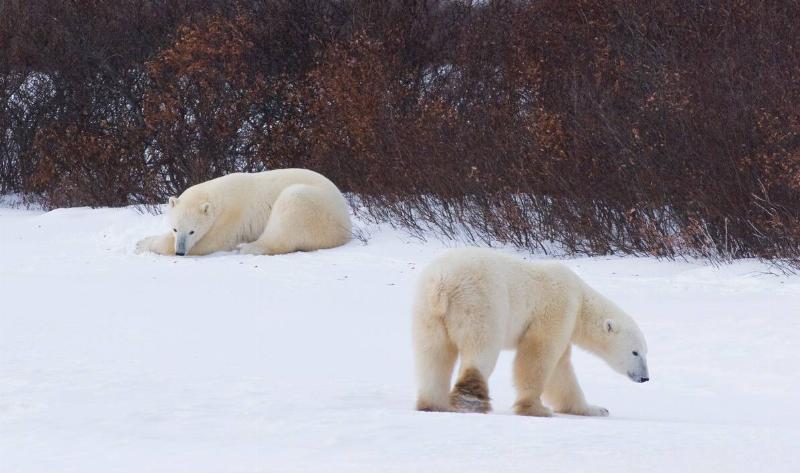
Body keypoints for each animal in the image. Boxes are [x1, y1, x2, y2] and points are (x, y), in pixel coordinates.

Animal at [136, 168, 352, 256]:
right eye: (174, 228)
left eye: (192, 231)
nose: (180, 252)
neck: (219, 197)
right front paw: (142, 241)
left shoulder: (232, 216)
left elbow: (211, 242)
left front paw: (145, 244)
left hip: (316, 209)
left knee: (289, 212)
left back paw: (249, 247)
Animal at [413, 247, 649, 417]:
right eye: (635, 352)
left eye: (646, 352)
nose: (645, 378)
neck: (581, 299)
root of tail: (442, 284)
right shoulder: (558, 308)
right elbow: (539, 354)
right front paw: (537, 408)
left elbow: (561, 370)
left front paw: (596, 409)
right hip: (480, 303)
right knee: (481, 350)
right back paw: (470, 403)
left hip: (428, 313)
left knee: (433, 355)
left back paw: (434, 404)